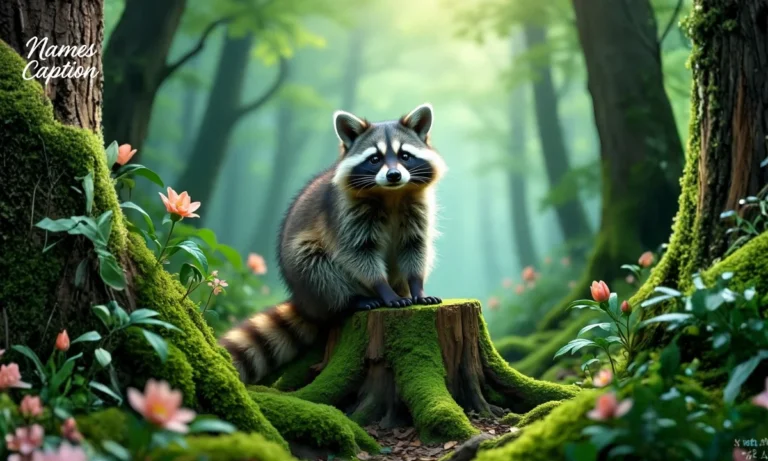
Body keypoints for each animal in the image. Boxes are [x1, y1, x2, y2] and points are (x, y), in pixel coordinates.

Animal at [220, 103, 447, 384]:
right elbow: (358, 254)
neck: (391, 194)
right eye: (375, 159)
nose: (394, 175)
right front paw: (383, 288)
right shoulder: (345, 216)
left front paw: (417, 286)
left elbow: (416, 248)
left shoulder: (417, 211)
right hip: (305, 272)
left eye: (405, 155)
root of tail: (304, 301)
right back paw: (352, 300)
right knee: (317, 266)